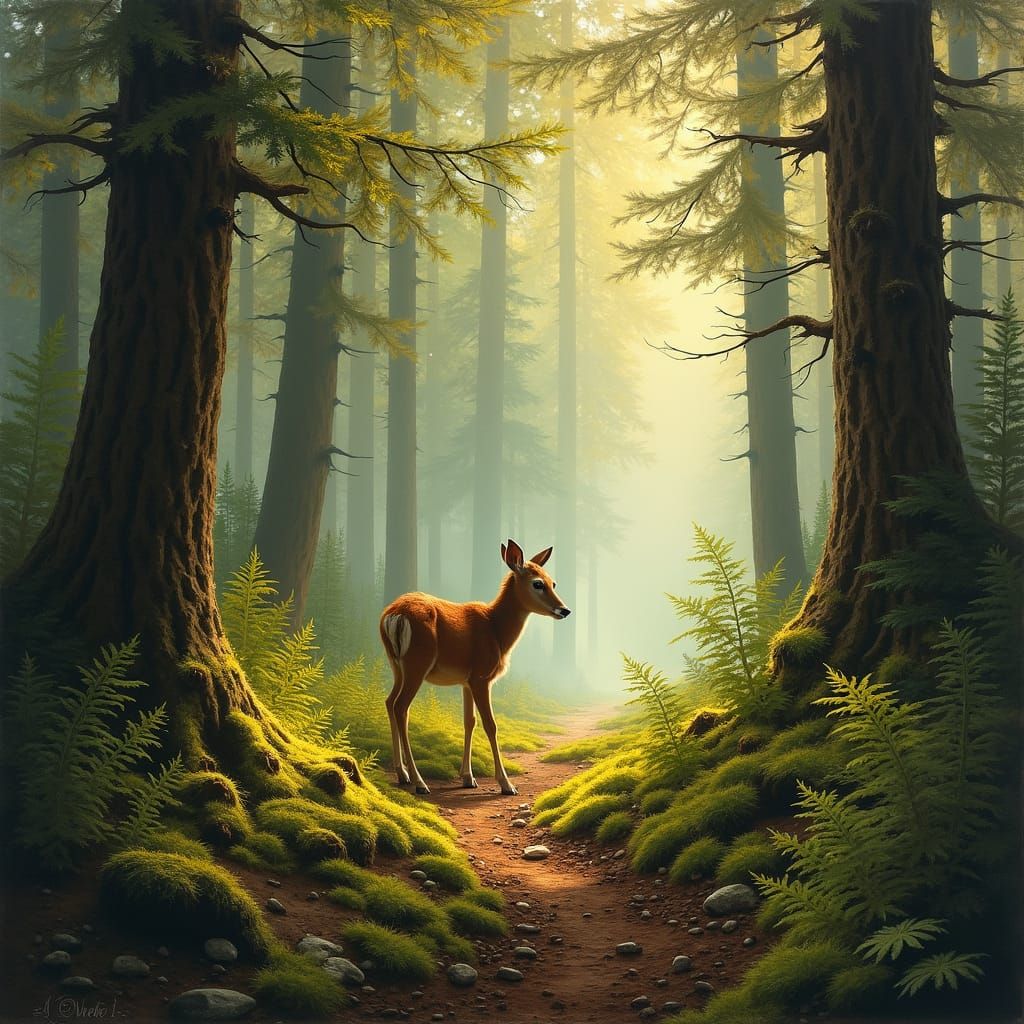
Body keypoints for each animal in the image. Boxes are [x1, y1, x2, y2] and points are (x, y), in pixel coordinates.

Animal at [379, 539, 571, 797]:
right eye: (537, 583)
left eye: (553, 582)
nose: (564, 610)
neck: (496, 631)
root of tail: (394, 616)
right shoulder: (481, 677)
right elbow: (491, 725)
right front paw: (506, 784)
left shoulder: (466, 681)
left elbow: (469, 721)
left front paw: (468, 778)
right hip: (417, 663)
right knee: (401, 707)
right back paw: (420, 782)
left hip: (396, 664)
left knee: (389, 702)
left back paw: (403, 774)